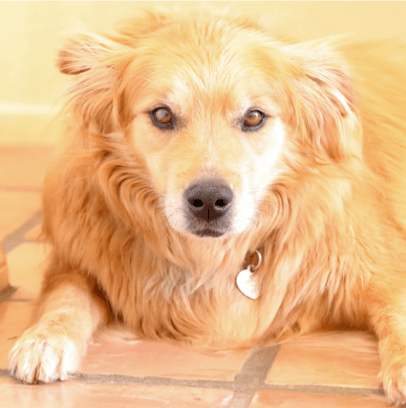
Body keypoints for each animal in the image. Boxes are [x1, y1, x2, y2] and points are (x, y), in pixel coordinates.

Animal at [8, 8, 406, 405]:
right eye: (162, 114)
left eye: (254, 117)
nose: (209, 202)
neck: (209, 256)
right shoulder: (76, 260)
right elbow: (65, 296)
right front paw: (43, 338)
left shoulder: (381, 269)